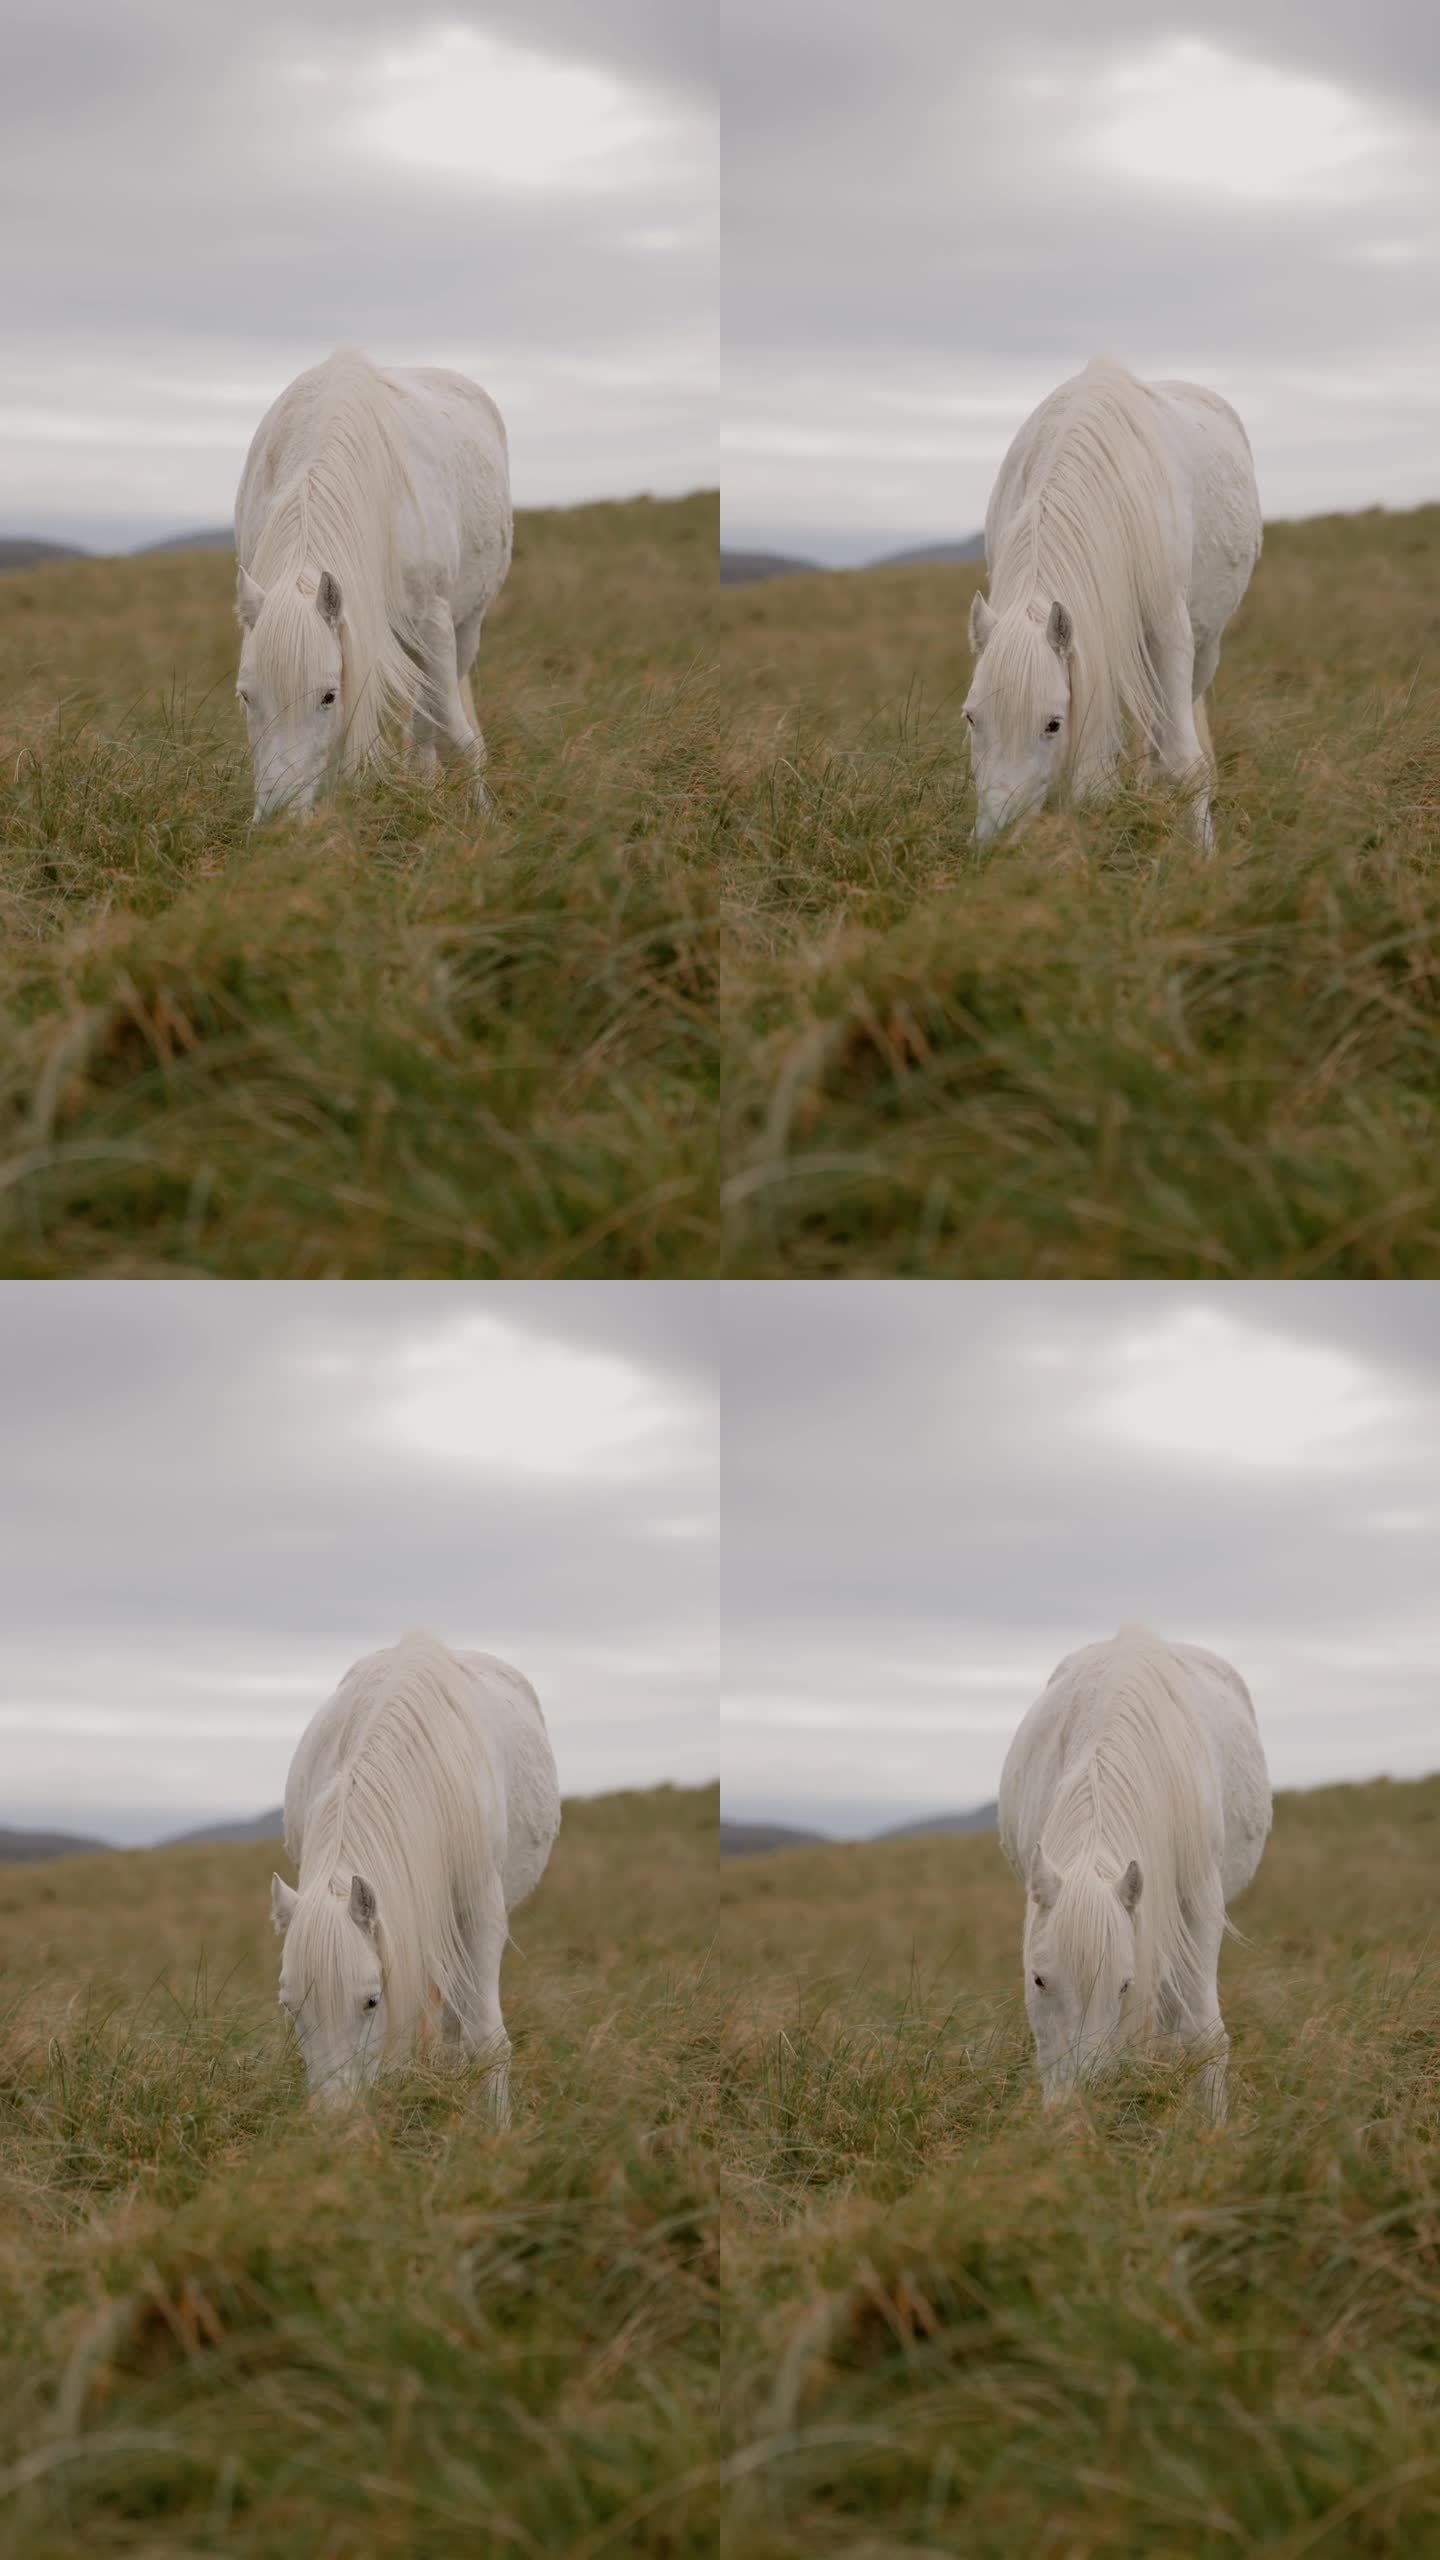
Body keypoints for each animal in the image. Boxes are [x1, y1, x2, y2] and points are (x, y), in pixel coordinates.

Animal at [233, 345, 507, 814]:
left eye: (328, 696)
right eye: (247, 696)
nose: (278, 818)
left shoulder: (433, 624)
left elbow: (447, 727)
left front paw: (480, 811)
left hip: (467, 624)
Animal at [963, 358, 1255, 849]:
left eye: (1052, 724)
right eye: (970, 718)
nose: (997, 842)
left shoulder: (1168, 634)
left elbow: (1185, 761)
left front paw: (1203, 850)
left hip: (1203, 649)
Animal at [999, 1617, 1265, 2119]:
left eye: (1123, 1985)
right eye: (1039, 1979)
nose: (1074, 2107)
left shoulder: (1198, 1908)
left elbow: (1205, 2036)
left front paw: (1212, 2125)